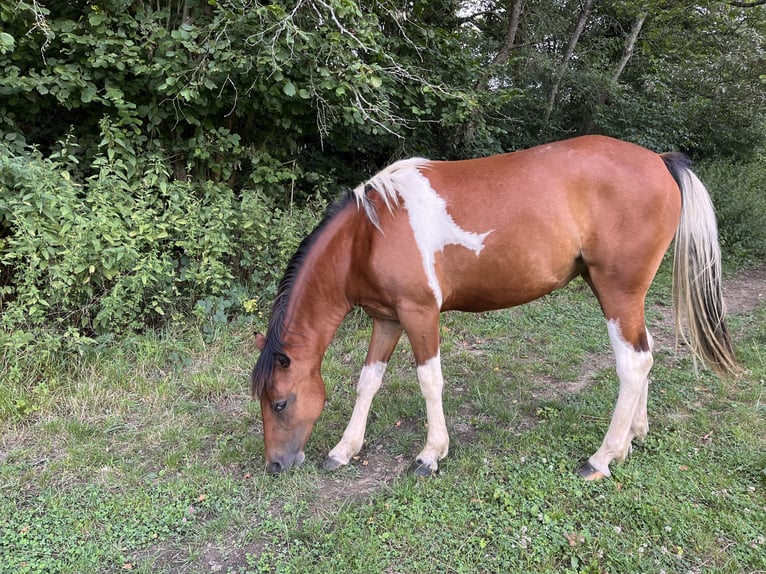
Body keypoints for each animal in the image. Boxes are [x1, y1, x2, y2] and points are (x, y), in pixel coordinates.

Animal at [250, 136, 736, 482]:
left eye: (280, 402)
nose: (275, 465)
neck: (368, 234)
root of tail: (658, 160)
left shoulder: (419, 314)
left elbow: (429, 381)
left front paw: (430, 454)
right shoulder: (387, 318)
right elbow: (367, 381)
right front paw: (344, 450)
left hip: (617, 291)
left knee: (632, 364)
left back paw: (602, 457)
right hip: (624, 295)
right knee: (646, 353)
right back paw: (635, 435)